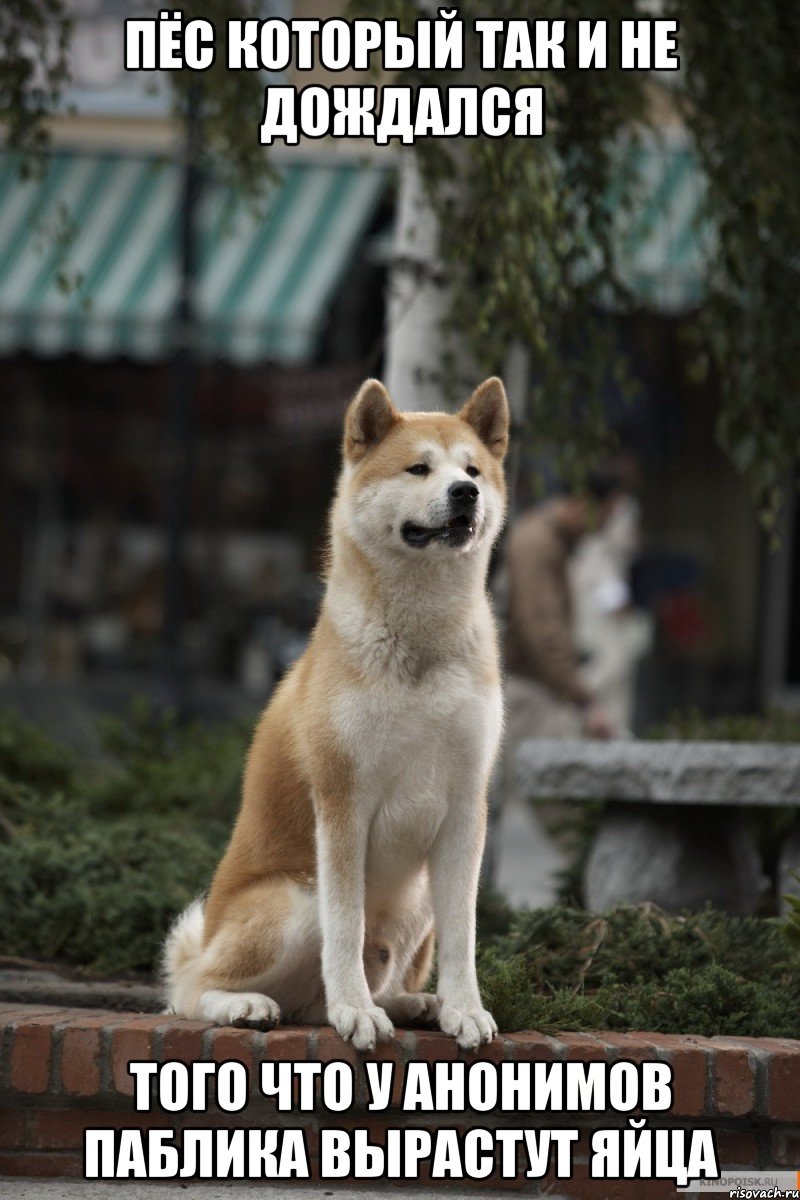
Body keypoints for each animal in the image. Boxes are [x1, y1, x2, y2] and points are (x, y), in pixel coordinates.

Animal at [165, 374, 510, 1051]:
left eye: (473, 470)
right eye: (418, 468)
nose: (465, 493)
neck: (420, 643)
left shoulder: (466, 806)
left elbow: (464, 935)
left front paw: (464, 1009)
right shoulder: (343, 801)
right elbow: (345, 928)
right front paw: (355, 1011)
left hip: (417, 899)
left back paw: (415, 1003)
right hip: (295, 900)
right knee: (189, 990)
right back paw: (250, 1005)